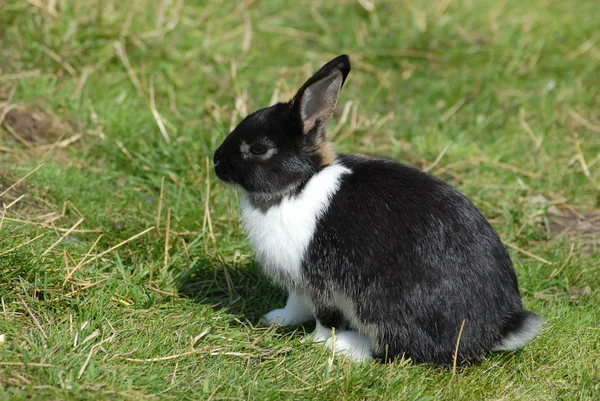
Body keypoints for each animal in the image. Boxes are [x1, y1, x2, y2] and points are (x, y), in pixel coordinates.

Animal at [213, 54, 540, 364]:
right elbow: (295, 304)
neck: (298, 185)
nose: (216, 160)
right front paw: (276, 319)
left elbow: (326, 319)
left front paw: (316, 343)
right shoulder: (299, 283)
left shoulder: (323, 284)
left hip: (379, 302)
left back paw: (345, 347)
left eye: (258, 149)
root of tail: (497, 330)